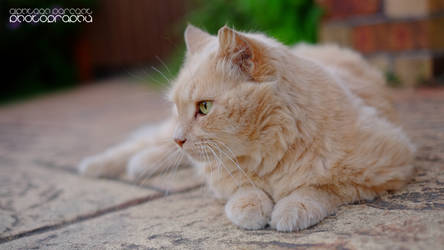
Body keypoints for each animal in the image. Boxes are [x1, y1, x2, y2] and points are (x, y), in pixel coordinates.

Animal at [78, 24, 414, 231]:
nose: (180, 139)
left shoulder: (389, 165)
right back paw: (98, 166)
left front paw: (290, 209)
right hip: (162, 136)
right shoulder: (222, 175)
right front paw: (252, 208)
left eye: (204, 107)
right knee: (143, 145)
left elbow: (320, 187)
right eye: (177, 106)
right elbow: (243, 189)